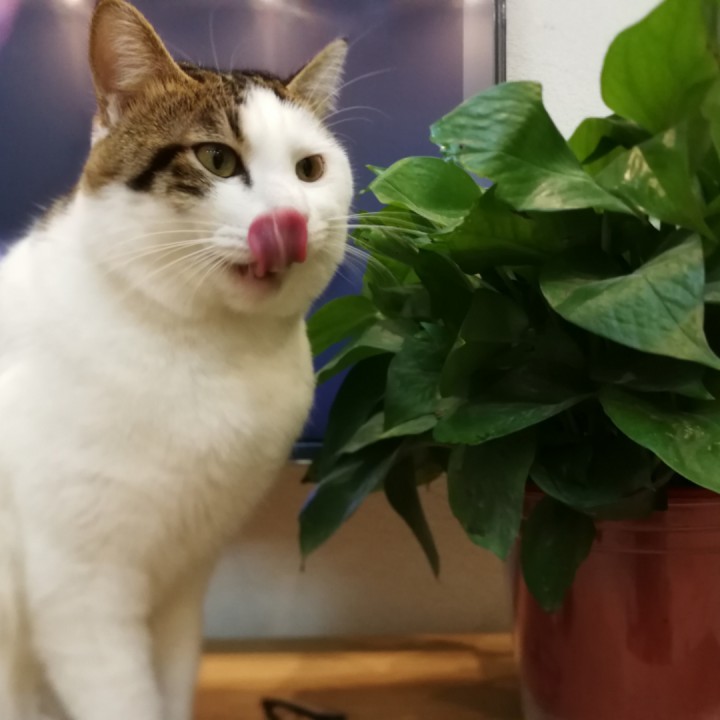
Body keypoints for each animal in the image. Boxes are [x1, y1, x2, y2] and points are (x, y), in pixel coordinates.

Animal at [0, 1, 352, 719]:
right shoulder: (79, 589)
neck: (208, 349)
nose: (291, 220)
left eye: (311, 170)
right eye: (217, 158)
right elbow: (123, 698)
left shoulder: (184, 580)